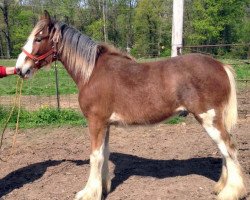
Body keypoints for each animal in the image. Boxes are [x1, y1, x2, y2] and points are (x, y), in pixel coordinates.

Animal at [15, 10, 246, 200]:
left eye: (38, 38)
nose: (20, 68)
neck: (92, 73)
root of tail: (221, 65)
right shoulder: (105, 124)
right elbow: (104, 154)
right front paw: (103, 188)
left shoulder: (96, 122)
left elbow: (95, 157)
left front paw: (88, 193)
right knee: (224, 149)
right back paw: (220, 187)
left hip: (209, 118)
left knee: (229, 148)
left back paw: (231, 192)